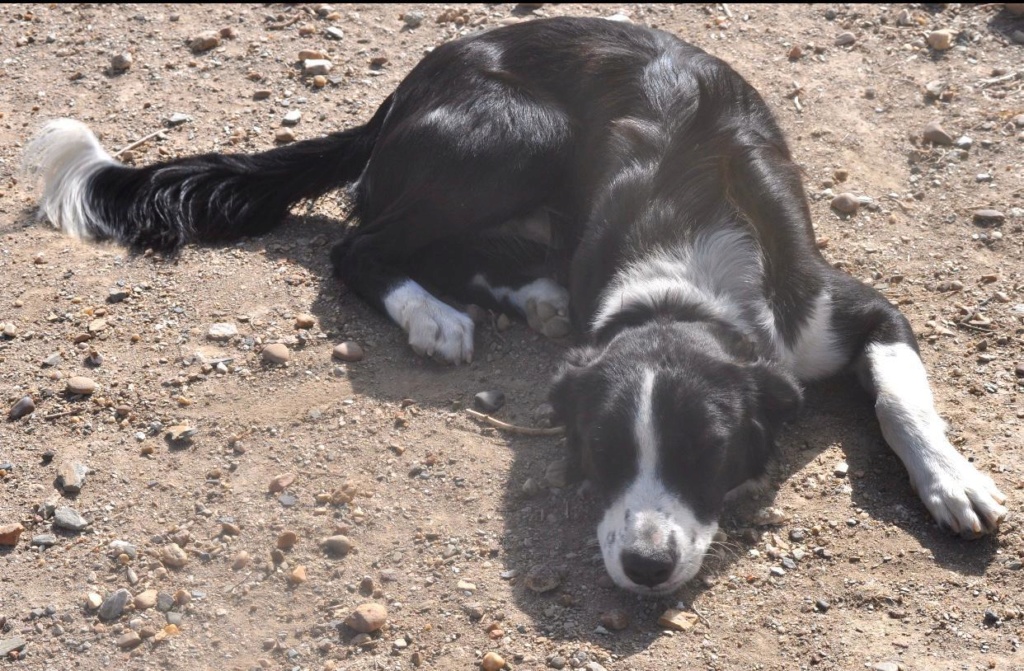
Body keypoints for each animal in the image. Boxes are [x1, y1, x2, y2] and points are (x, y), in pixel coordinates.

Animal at [24, 15, 1007, 594]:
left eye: (710, 449)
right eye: (603, 448)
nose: (646, 565)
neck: (684, 265)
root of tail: (403, 91)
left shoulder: (847, 307)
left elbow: (900, 394)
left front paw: (951, 477)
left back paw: (527, 292)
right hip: (517, 131)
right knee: (361, 243)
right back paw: (435, 313)